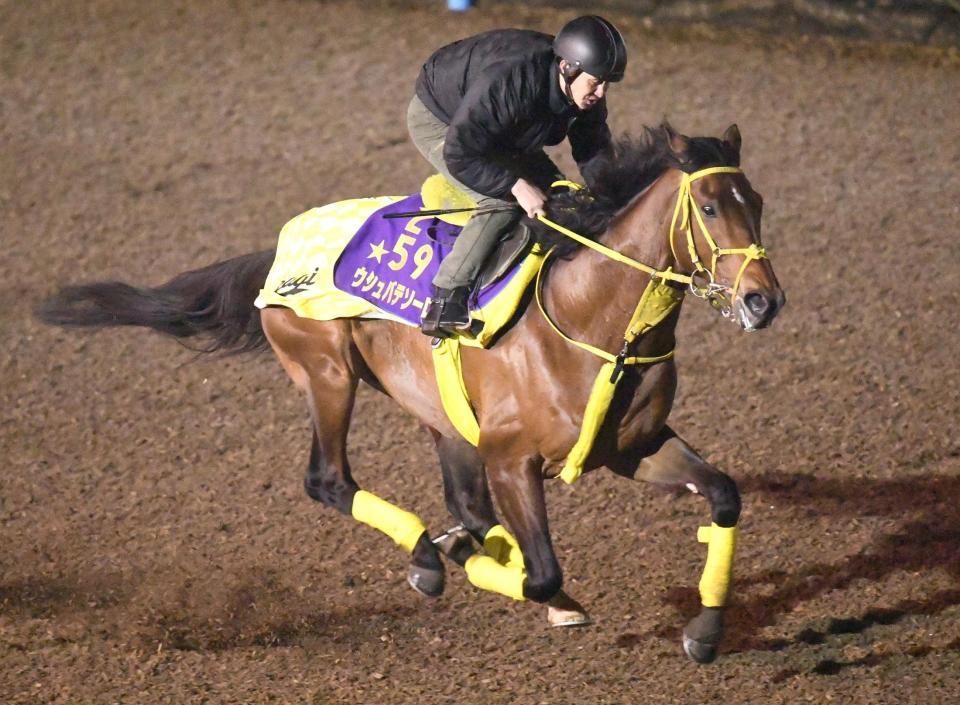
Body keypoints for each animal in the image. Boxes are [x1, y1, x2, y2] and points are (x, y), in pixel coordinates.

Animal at [37, 124, 788, 664]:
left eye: (758, 203)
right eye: (711, 206)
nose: (763, 301)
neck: (591, 319)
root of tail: (281, 250)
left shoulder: (633, 446)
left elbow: (723, 495)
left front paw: (705, 633)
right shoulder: (511, 458)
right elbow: (542, 570)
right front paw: (485, 567)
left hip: (441, 417)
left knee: (460, 501)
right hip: (329, 375)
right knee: (329, 479)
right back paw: (430, 557)